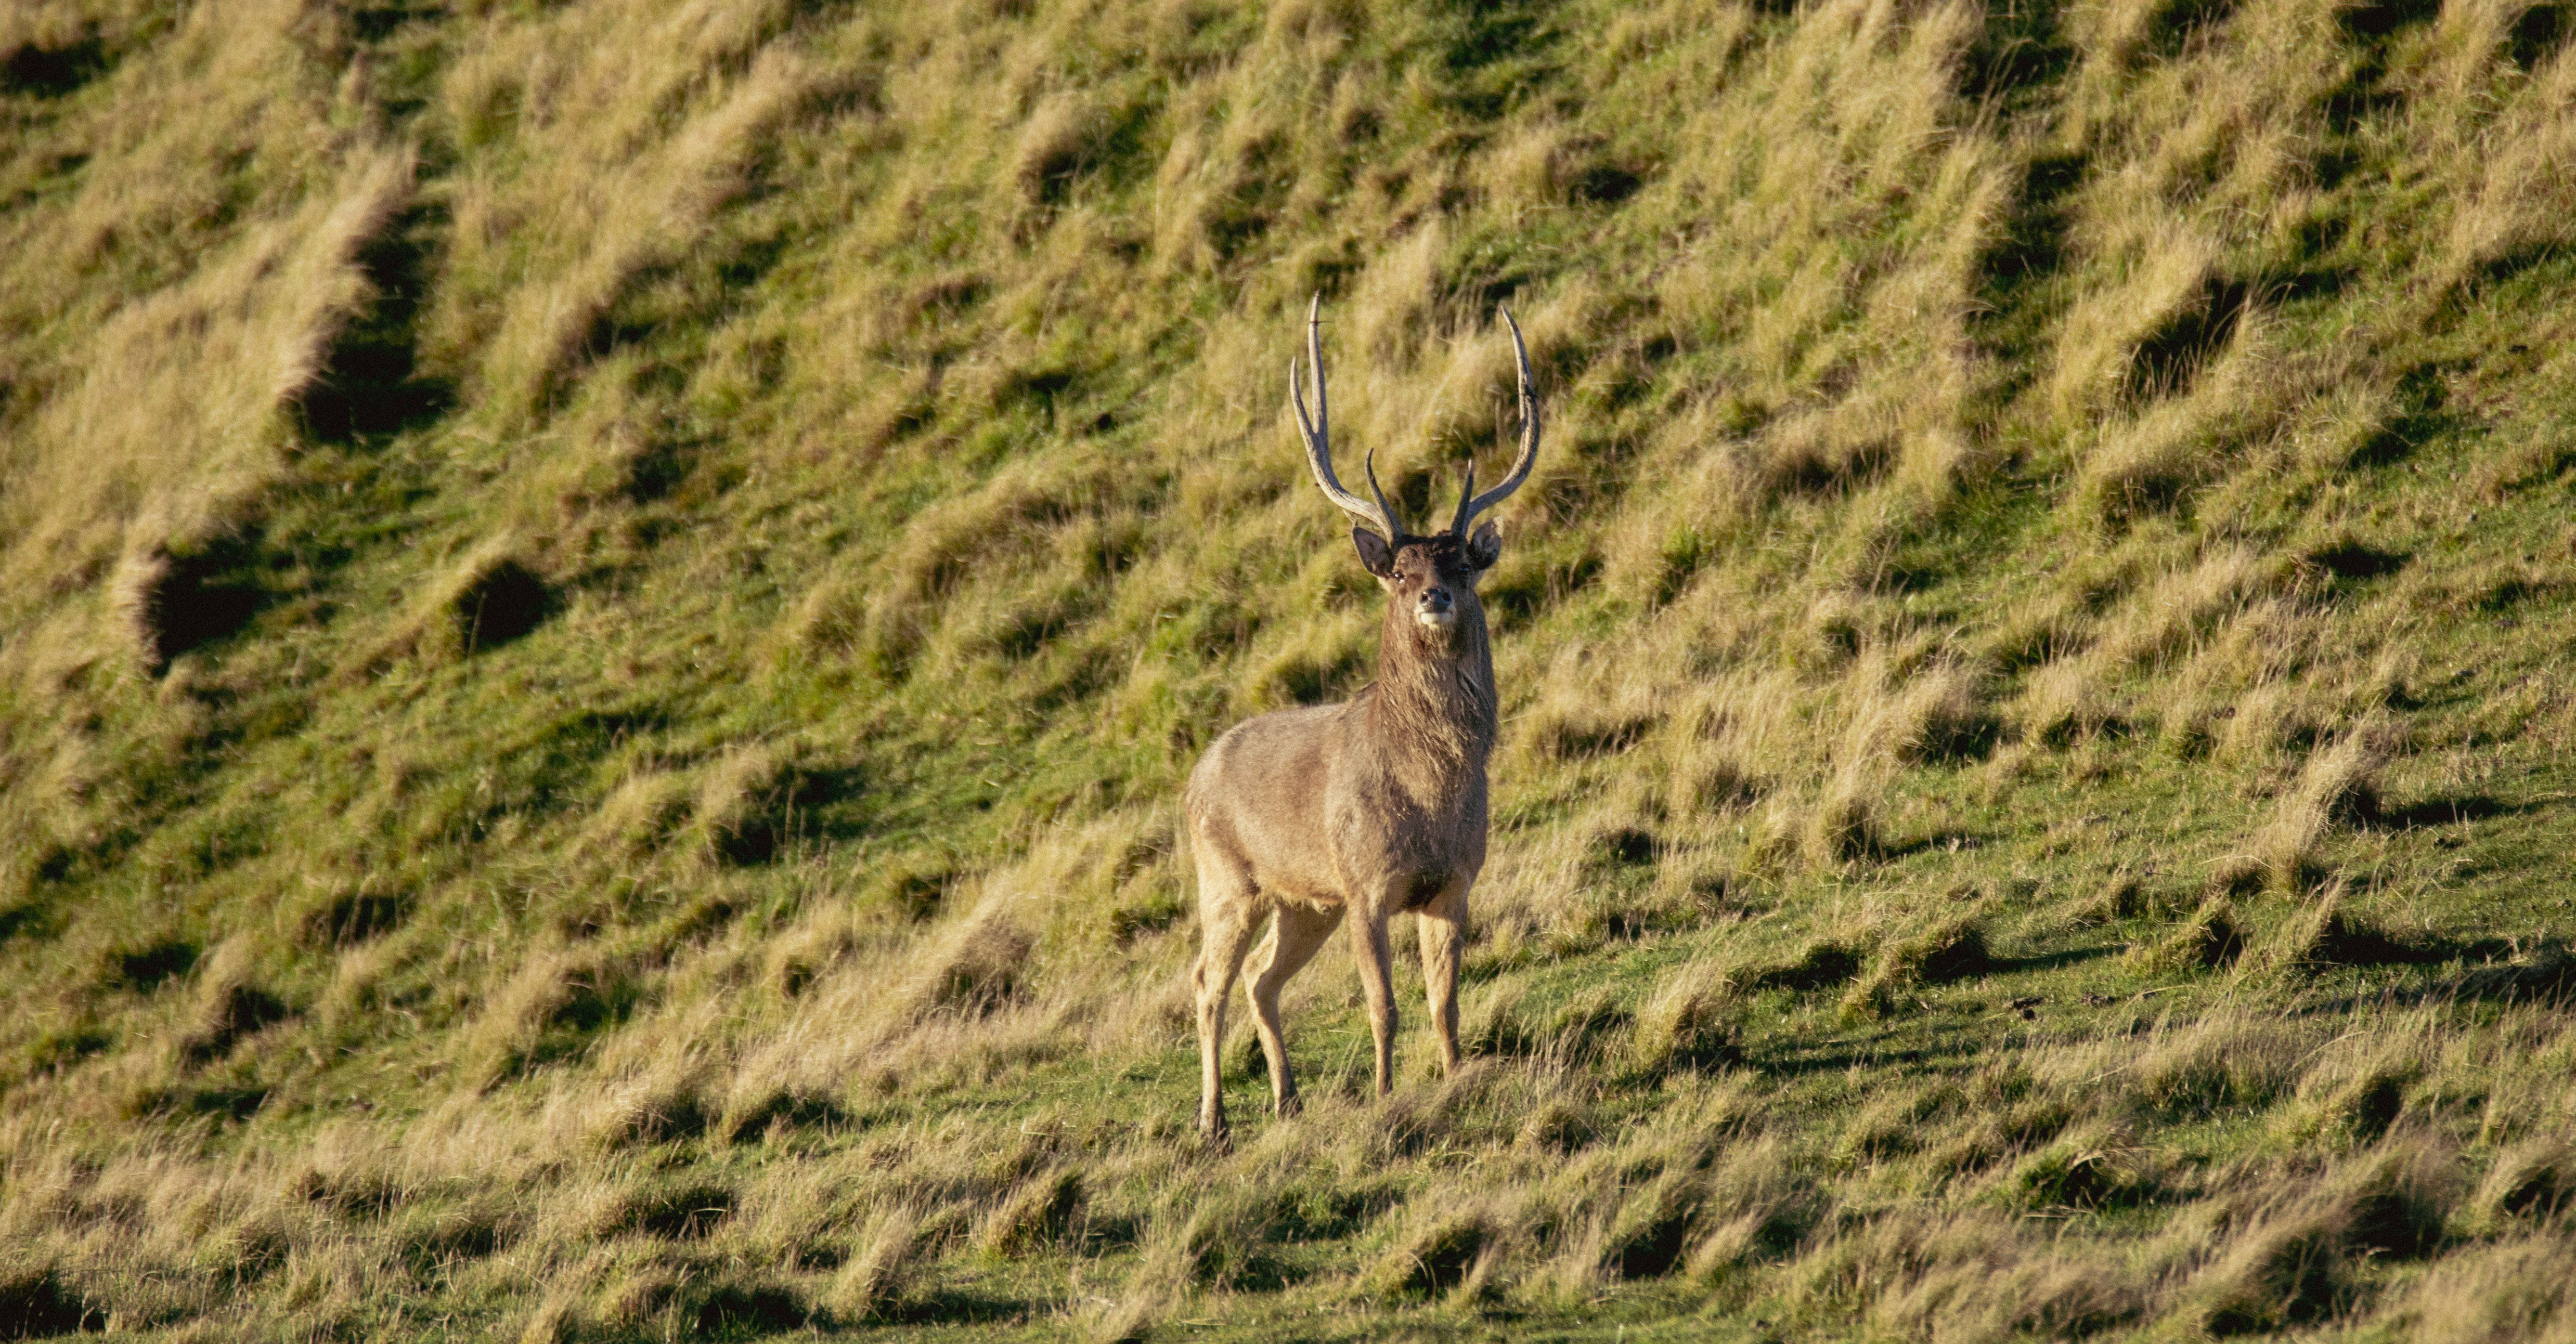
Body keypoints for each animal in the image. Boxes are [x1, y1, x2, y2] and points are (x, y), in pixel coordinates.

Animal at [1185, 294, 1543, 1140]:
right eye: (1401, 570)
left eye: (1461, 563)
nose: (1433, 596)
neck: (1429, 796)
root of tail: (1192, 777)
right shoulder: (1366, 882)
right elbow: (1383, 1005)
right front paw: (1385, 1095)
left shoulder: (1454, 881)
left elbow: (1445, 1003)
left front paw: (1455, 1078)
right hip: (1228, 877)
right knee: (1207, 982)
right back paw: (1213, 1120)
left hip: (1301, 899)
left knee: (1260, 978)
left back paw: (1287, 1097)